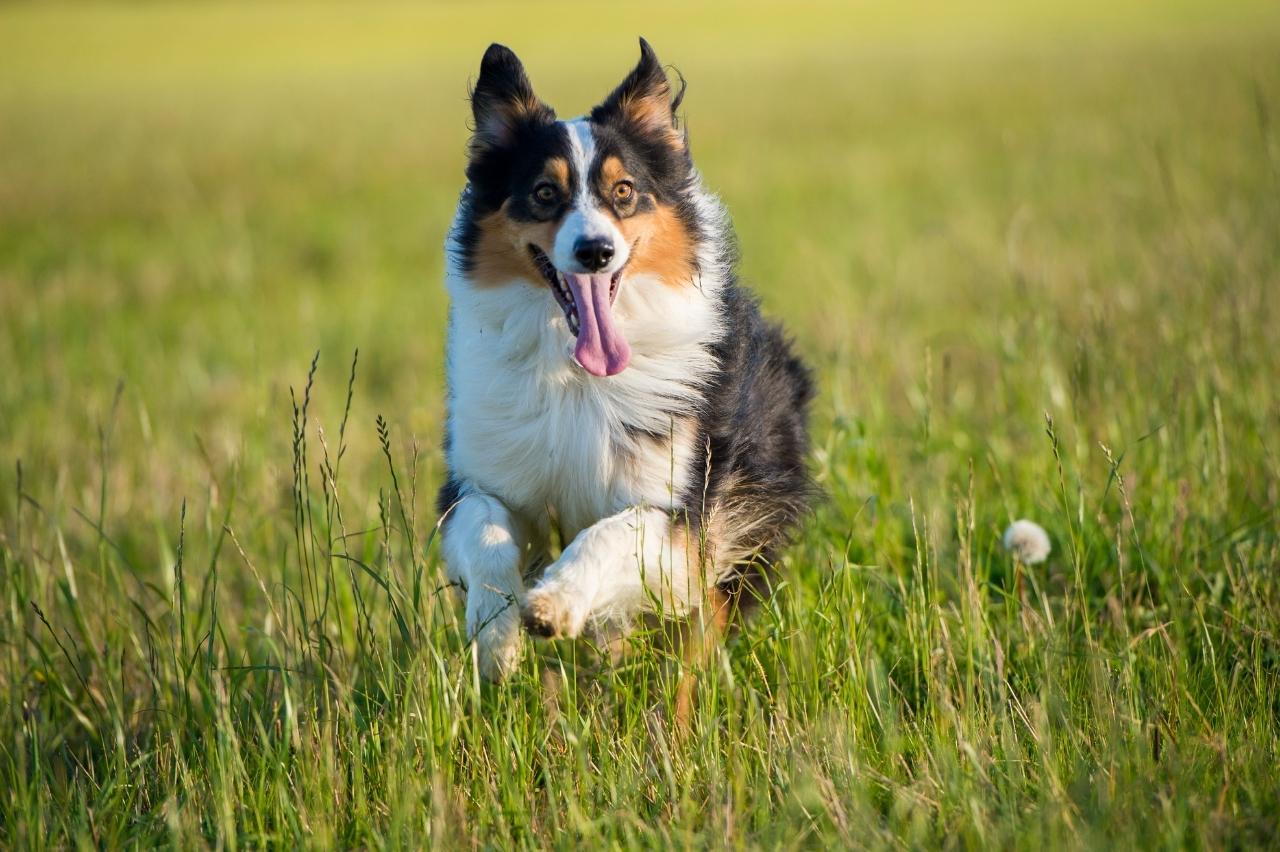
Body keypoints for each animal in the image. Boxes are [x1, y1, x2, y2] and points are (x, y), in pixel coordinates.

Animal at [437, 39, 808, 680]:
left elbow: (611, 532)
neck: (575, 374)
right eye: (544, 193)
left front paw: (555, 603)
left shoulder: (680, 520)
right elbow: (486, 530)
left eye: (625, 191)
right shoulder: (483, 478)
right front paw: (496, 632)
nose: (596, 251)